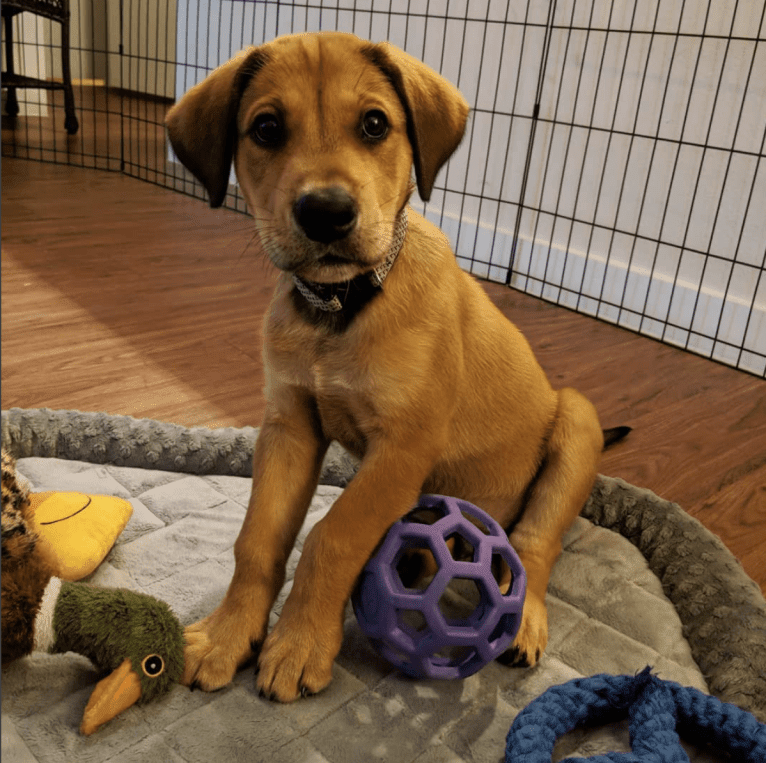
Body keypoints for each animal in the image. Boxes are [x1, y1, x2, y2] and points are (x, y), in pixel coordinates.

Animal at [166, 31, 608, 704]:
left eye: (375, 124)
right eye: (266, 128)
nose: (325, 212)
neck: (342, 308)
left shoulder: (403, 447)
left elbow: (333, 535)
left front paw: (298, 644)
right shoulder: (289, 427)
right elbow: (259, 538)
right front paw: (228, 634)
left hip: (577, 419)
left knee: (534, 543)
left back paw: (524, 620)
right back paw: (422, 556)